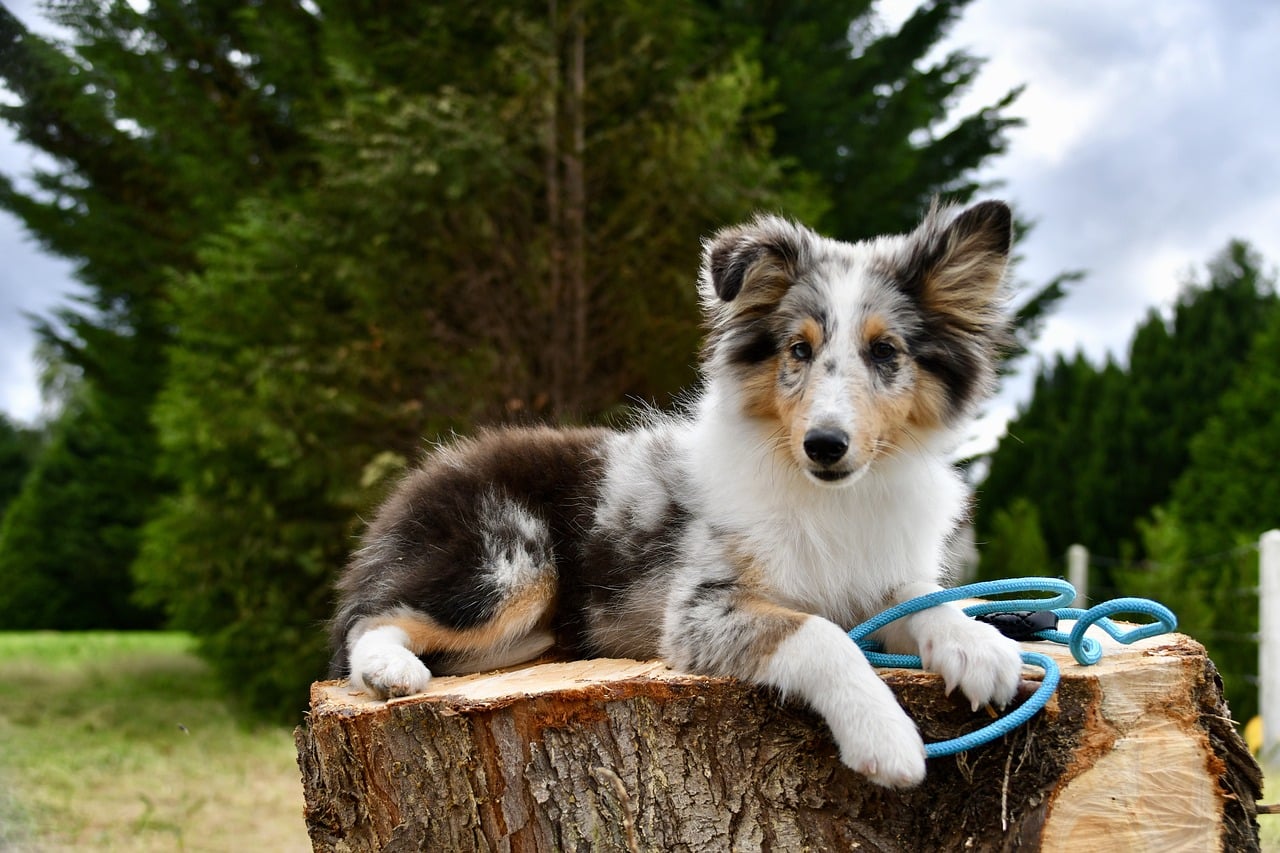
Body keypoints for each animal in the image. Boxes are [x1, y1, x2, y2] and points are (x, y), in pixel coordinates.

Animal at [327, 199, 1018, 783]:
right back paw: (392, 671)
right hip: (509, 562)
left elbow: (925, 599)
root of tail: (423, 474)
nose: (825, 445)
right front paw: (885, 737)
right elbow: (820, 634)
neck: (832, 496)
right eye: (799, 349)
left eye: (884, 351)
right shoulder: (699, 610)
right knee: (369, 619)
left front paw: (979, 644)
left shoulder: (879, 579)